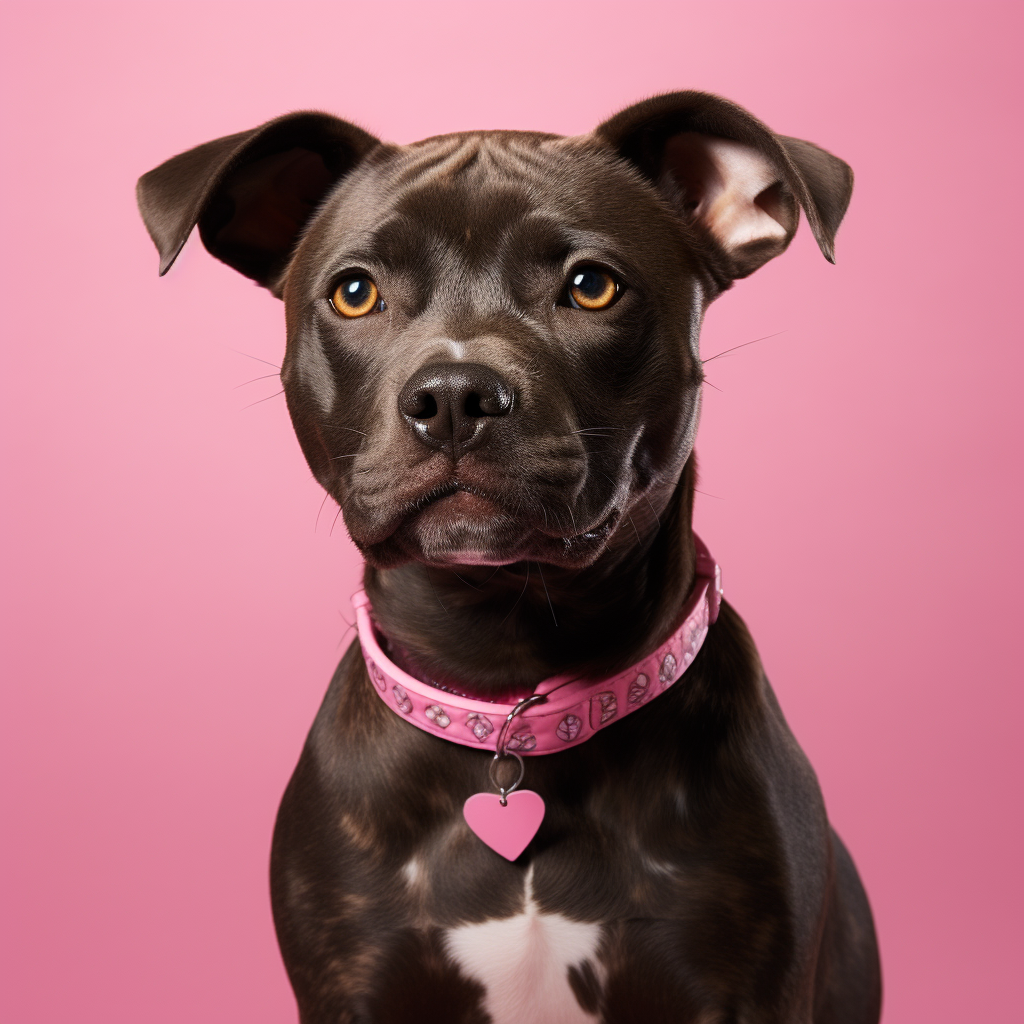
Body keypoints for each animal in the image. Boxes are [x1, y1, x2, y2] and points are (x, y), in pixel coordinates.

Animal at [140, 92, 884, 1019]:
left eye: (592, 286)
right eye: (355, 292)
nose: (455, 395)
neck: (502, 685)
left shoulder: (746, 991)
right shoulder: (349, 986)